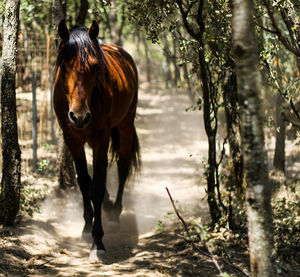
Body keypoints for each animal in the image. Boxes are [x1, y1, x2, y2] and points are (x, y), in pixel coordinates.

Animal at [53, 20, 141, 262]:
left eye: (94, 67)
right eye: (64, 66)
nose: (79, 117)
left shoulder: (100, 139)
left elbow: (98, 187)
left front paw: (98, 241)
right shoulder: (72, 140)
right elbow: (84, 182)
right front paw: (86, 227)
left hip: (125, 124)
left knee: (122, 167)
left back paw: (116, 210)